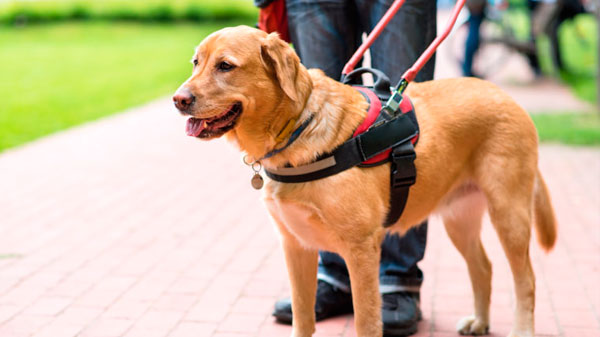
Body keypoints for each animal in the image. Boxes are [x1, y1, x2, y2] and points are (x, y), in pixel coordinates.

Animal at [172, 26, 556, 336]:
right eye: (195, 63)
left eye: (226, 66)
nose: (178, 100)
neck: (297, 129)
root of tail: (507, 97)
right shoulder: (296, 245)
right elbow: (302, 316)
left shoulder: (362, 250)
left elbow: (367, 321)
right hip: (458, 218)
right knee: (484, 268)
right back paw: (480, 322)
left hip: (509, 213)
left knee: (527, 279)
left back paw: (522, 328)